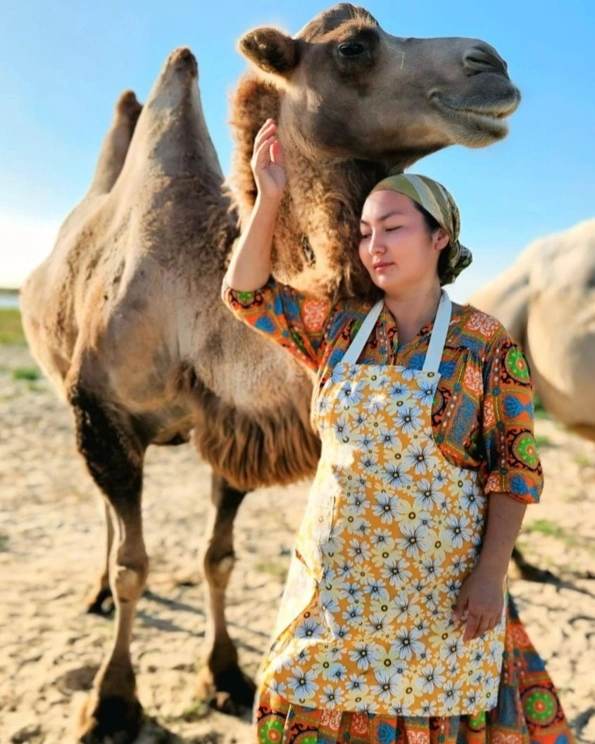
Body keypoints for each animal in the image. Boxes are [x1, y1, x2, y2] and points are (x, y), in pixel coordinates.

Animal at [19, 4, 520, 741]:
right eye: (353, 46)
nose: (494, 64)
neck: (191, 307)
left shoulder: (235, 425)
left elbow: (218, 558)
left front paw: (225, 674)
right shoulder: (102, 412)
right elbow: (133, 565)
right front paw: (111, 704)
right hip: (73, 404)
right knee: (109, 520)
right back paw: (94, 596)